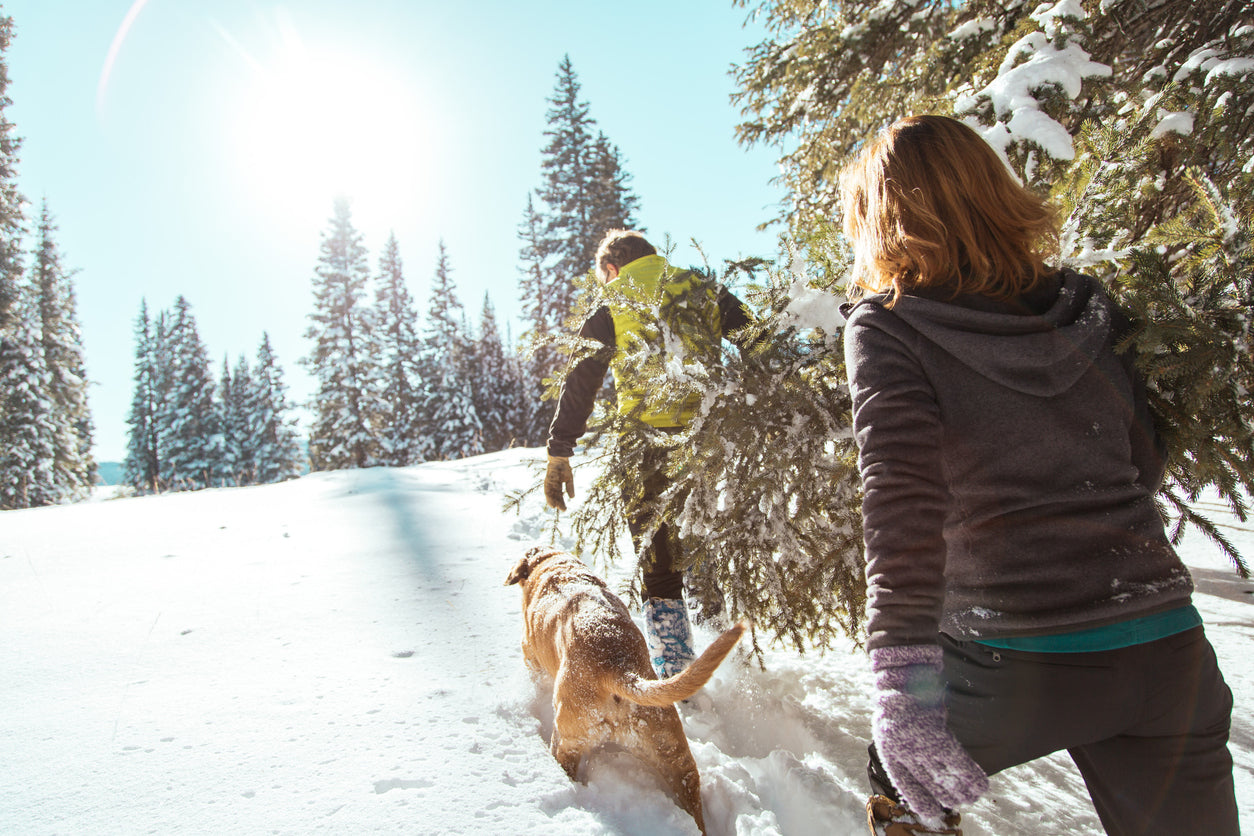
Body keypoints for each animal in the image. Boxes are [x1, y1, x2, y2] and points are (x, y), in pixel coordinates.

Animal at [506, 546, 742, 832]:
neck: (553, 566)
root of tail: (618, 668)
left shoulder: (530, 654)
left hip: (567, 737)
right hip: (670, 747)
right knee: (691, 791)